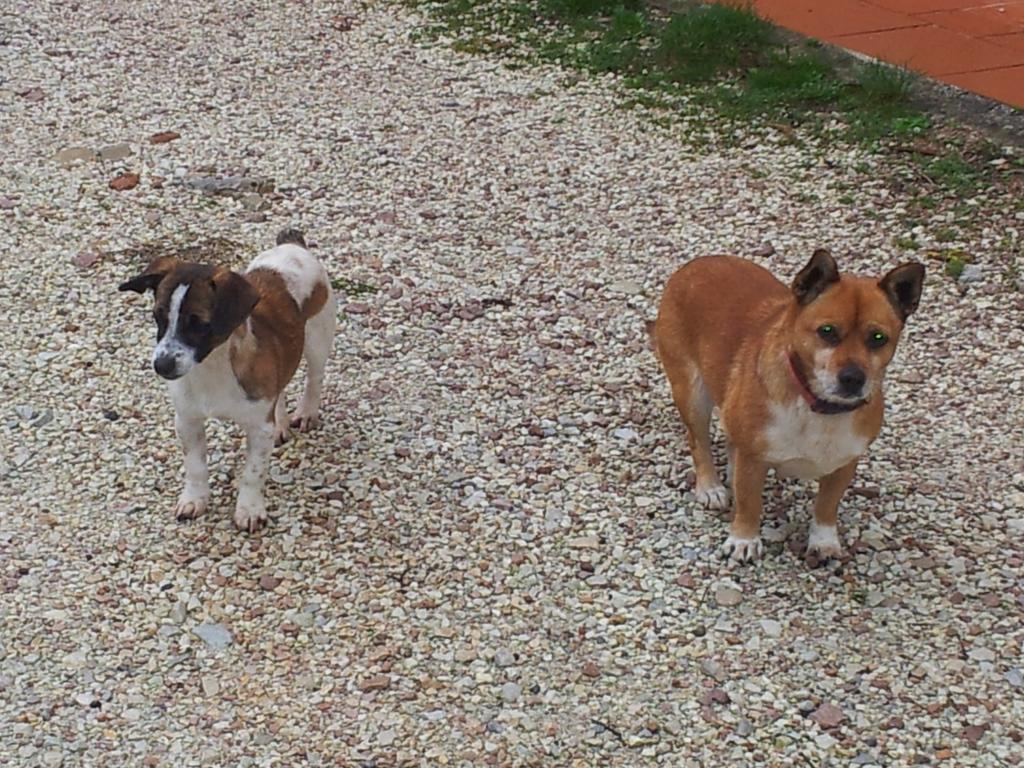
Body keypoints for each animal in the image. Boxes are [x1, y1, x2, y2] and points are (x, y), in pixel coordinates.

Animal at [119, 228, 335, 528]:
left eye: (198, 323)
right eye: (158, 317)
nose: (161, 366)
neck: (212, 369)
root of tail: (292, 245)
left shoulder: (259, 428)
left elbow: (253, 473)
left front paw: (249, 509)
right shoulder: (187, 420)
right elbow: (195, 466)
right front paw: (194, 500)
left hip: (317, 338)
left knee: (314, 378)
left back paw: (306, 413)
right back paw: (281, 423)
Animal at [651, 252, 925, 565]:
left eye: (878, 338)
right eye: (827, 331)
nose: (853, 378)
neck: (816, 406)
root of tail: (697, 262)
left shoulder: (844, 463)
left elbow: (827, 506)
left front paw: (824, 541)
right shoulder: (753, 459)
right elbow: (749, 503)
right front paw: (744, 540)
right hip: (692, 394)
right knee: (699, 443)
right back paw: (711, 487)